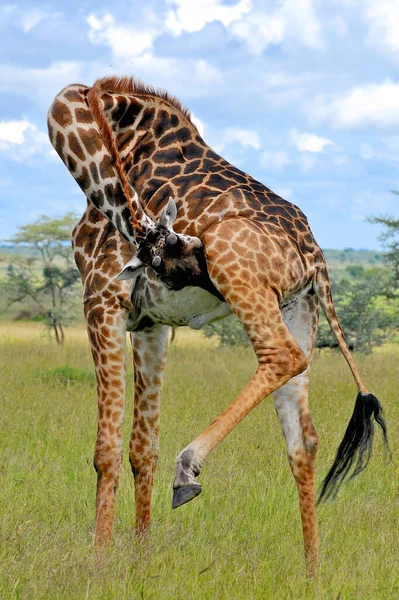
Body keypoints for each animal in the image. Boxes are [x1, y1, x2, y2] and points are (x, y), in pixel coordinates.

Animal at [47, 77, 390, 576]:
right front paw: (141, 559)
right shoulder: (149, 323)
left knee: (281, 356)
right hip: (298, 308)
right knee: (303, 440)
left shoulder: (102, 302)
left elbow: (105, 450)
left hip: (246, 281)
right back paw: (312, 575)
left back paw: (188, 470)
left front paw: (99, 566)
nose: (200, 268)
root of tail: (317, 256)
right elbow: (141, 446)